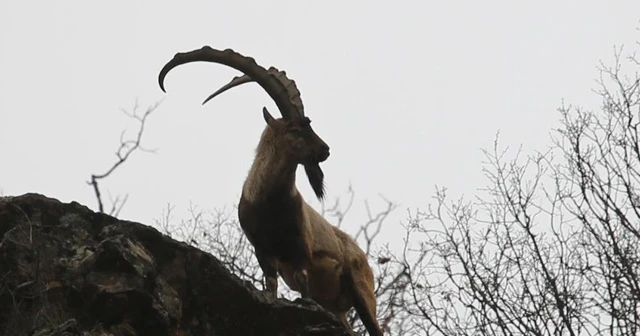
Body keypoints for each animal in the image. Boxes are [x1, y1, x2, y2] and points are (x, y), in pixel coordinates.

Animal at [158, 46, 382, 334]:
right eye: (295, 128)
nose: (325, 149)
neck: (269, 203)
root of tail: (360, 254)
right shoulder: (263, 251)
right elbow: (271, 287)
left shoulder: (300, 250)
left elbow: (303, 284)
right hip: (336, 306)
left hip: (362, 292)